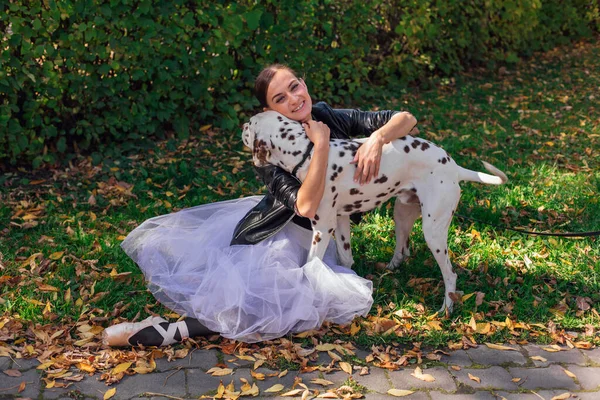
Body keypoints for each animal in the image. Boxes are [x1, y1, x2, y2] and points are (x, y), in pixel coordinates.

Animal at [241, 110, 508, 312]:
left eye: (251, 124)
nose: (242, 125)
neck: (309, 152)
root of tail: (454, 166)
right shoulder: (340, 222)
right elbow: (345, 259)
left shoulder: (323, 228)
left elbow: (310, 265)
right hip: (401, 214)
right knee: (403, 250)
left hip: (433, 232)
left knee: (450, 275)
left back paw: (446, 309)